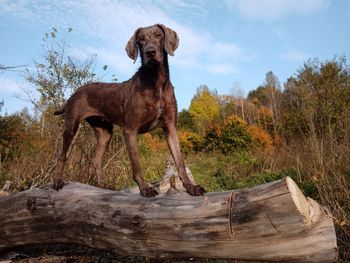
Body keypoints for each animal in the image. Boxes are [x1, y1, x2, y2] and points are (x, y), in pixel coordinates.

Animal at [53, 24, 206, 198]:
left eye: (158, 35)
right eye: (141, 39)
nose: (150, 52)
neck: (156, 81)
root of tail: (75, 92)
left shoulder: (170, 127)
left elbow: (180, 162)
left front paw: (191, 187)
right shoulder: (130, 129)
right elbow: (136, 163)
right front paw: (145, 188)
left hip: (105, 133)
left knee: (96, 159)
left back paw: (102, 185)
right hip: (71, 126)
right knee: (62, 156)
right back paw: (57, 181)